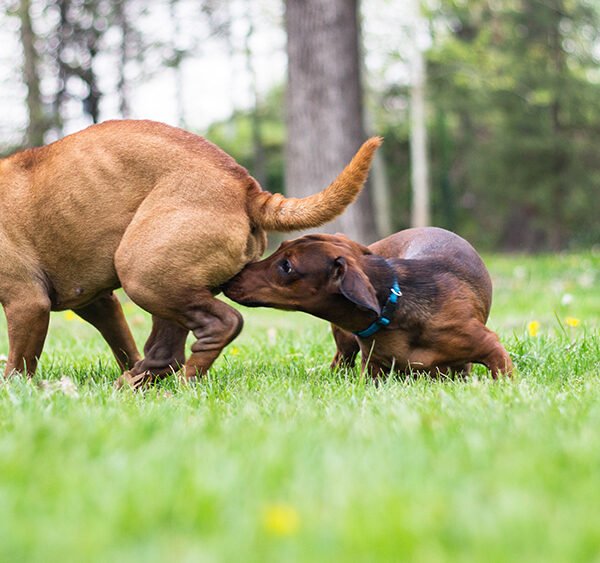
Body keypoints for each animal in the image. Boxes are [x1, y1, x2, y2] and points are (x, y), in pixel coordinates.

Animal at [0, 120, 382, 386]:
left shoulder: (27, 303)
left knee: (222, 323)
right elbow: (122, 342)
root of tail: (245, 187)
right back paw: (134, 384)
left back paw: (183, 381)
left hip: (141, 273)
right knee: (164, 351)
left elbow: (19, 365)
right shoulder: (96, 302)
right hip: (164, 283)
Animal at [223, 228, 512, 378]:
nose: (231, 276)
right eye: (281, 245)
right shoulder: (373, 370)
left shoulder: (491, 347)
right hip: (345, 342)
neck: (392, 312)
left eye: (286, 266)